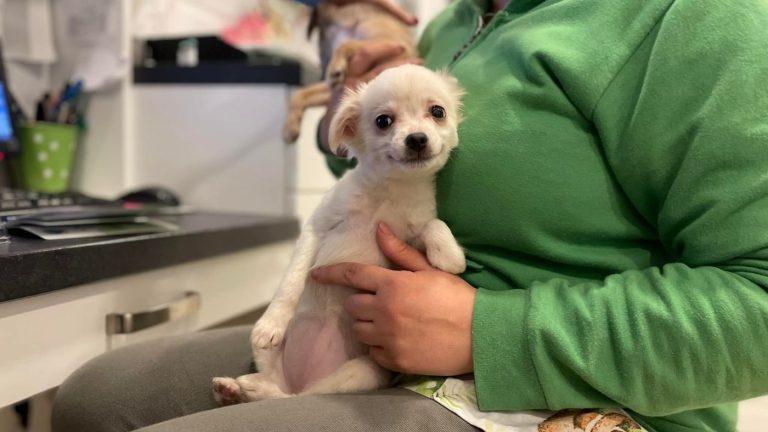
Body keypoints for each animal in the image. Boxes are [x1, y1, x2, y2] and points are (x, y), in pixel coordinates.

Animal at [212, 64, 466, 404]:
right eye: (383, 121)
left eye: (437, 112)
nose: (417, 139)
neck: (390, 191)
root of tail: (295, 379)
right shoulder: (316, 227)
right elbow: (292, 281)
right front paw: (271, 322)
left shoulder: (410, 236)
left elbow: (434, 225)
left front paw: (449, 255)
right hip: (274, 358)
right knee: (276, 387)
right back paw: (234, 389)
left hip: (359, 373)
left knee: (294, 396)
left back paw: (242, 391)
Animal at [282, 2, 418, 143]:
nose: (322, 70)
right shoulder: (334, 88)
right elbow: (300, 93)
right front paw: (289, 127)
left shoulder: (390, 42)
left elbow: (348, 43)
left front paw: (335, 66)